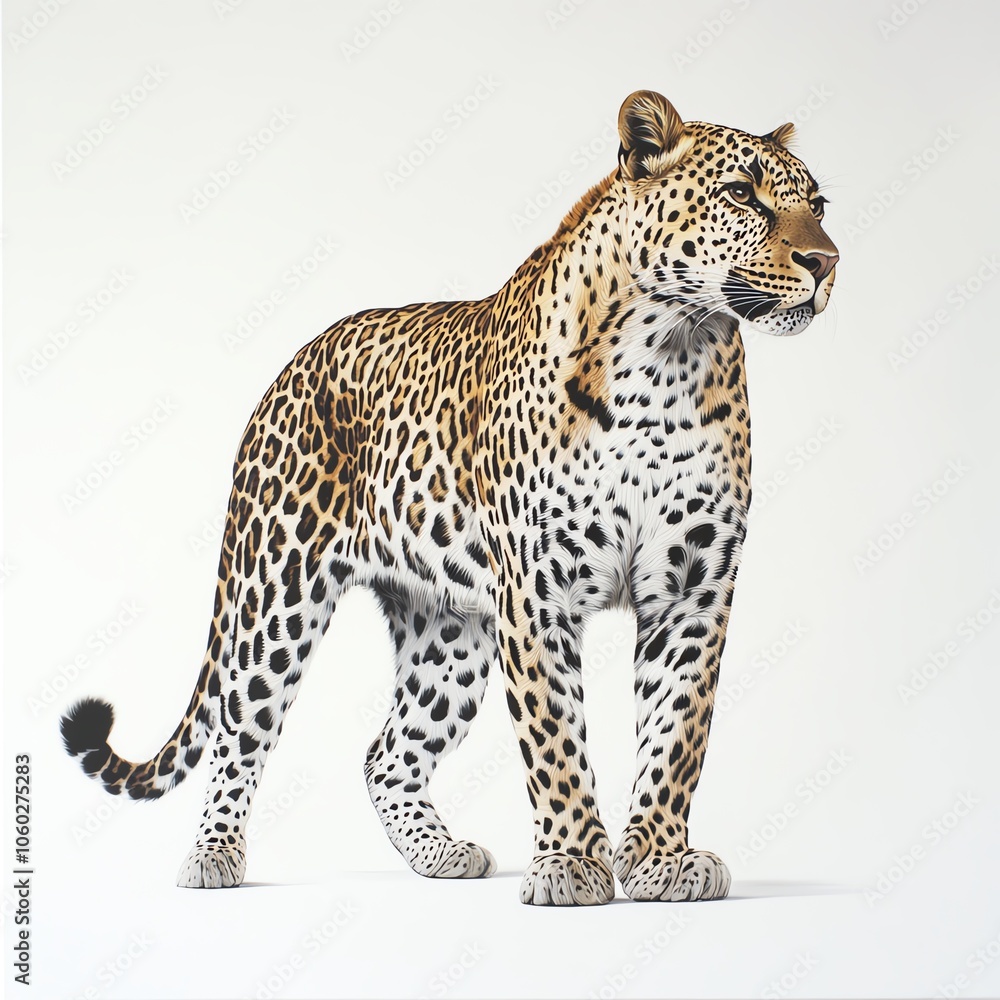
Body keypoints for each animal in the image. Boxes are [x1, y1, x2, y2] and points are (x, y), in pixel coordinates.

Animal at [61, 90, 838, 905]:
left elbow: (676, 733)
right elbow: (556, 740)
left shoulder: (693, 588)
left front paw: (660, 860)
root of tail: (293, 363)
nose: (826, 261)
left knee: (386, 754)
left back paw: (440, 854)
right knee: (239, 735)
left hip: (449, 632)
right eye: (742, 195)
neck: (670, 357)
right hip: (276, 595)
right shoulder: (538, 591)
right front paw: (571, 867)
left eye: (818, 206)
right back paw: (212, 857)